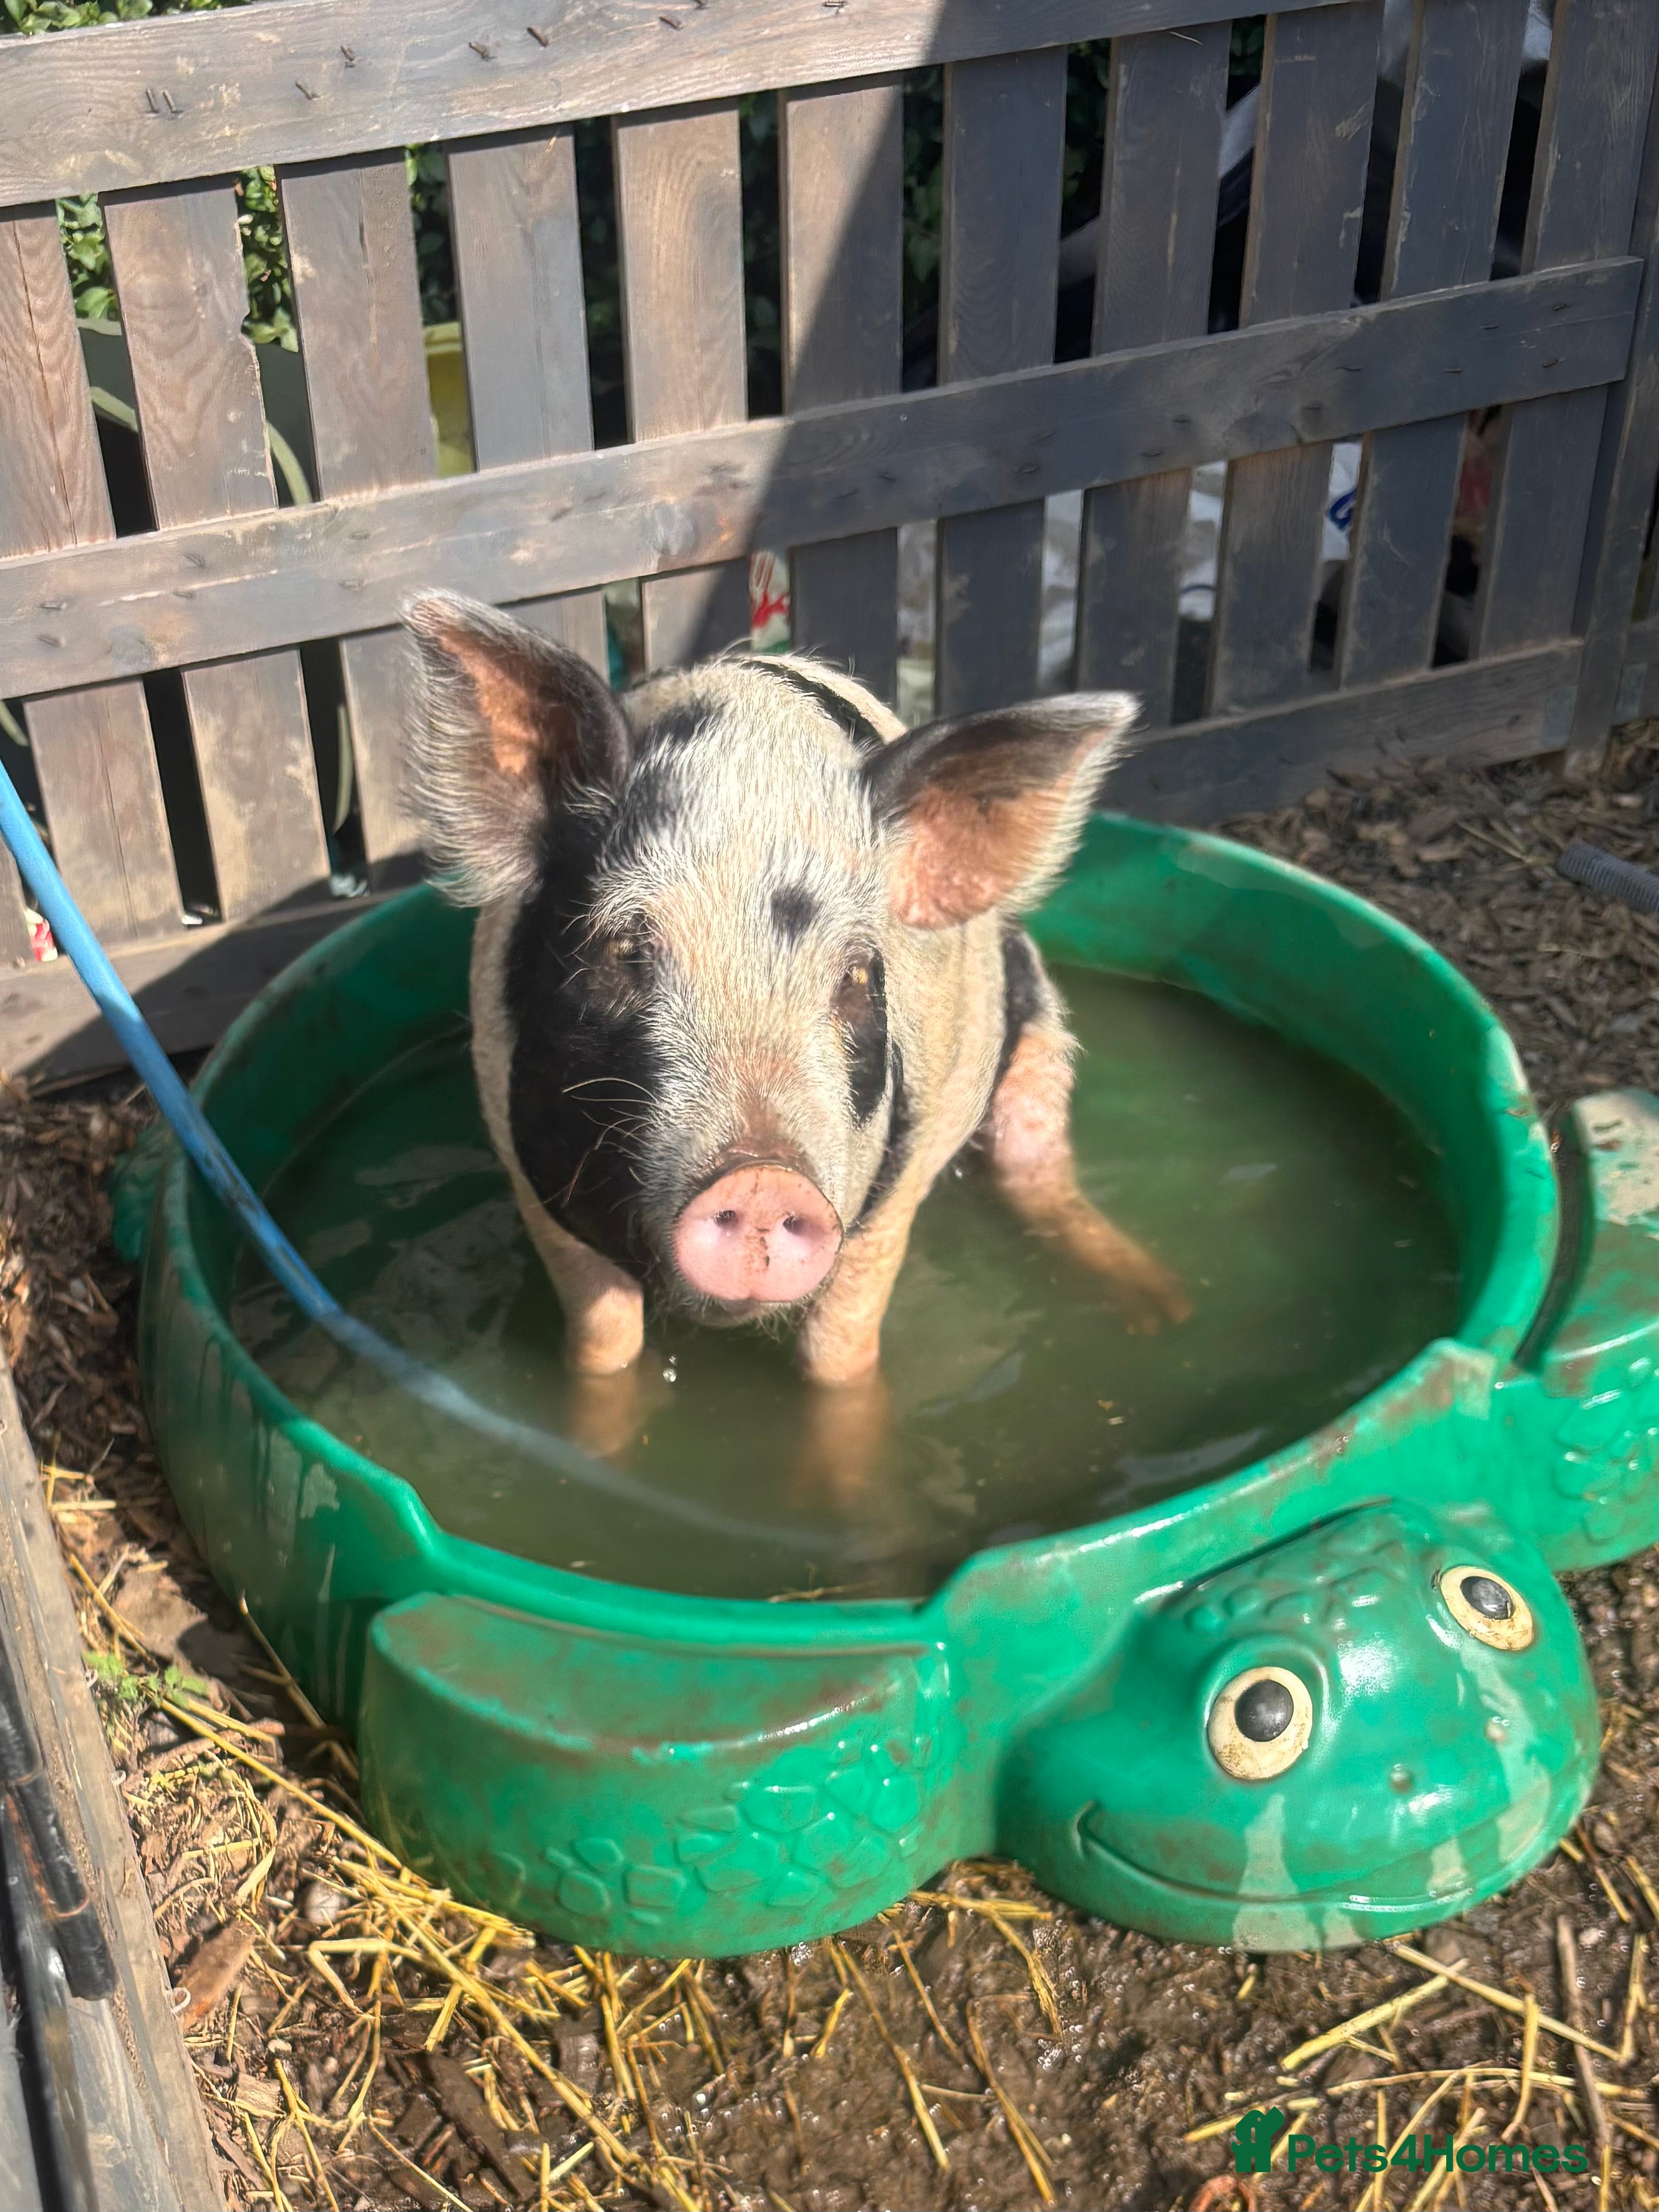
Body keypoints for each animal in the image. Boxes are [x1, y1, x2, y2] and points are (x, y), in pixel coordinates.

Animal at [402, 593, 1188, 1464]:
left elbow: (838, 1357)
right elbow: (603, 1346)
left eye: (854, 976)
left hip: (1040, 1044)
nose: (758, 1178)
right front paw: (592, 1447)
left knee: (1038, 1173)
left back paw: (1164, 1309)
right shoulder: (526, 1164)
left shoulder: (889, 1193)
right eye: (625, 949)